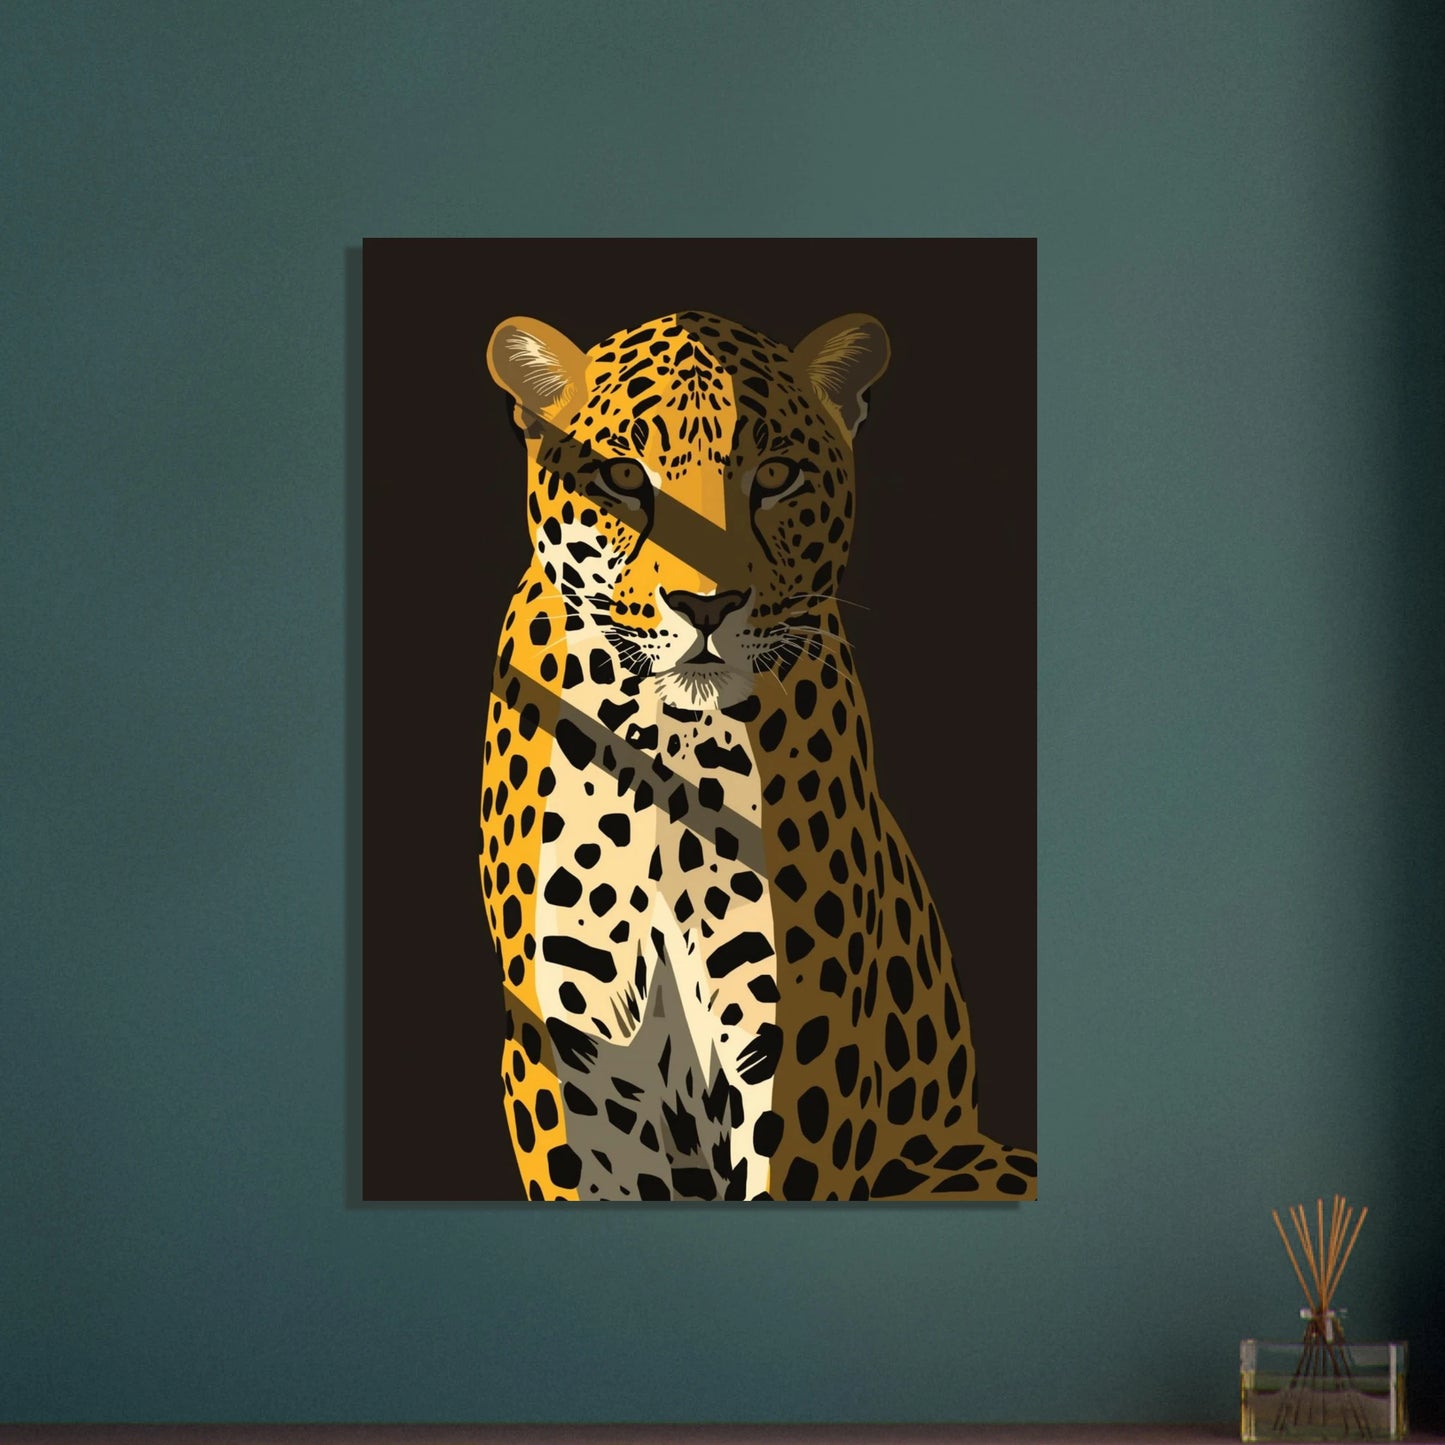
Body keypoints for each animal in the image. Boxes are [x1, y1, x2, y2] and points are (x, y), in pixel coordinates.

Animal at [478, 308, 1036, 1201]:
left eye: (774, 476)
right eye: (623, 477)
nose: (706, 604)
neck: (667, 743)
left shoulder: (799, 1035)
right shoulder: (569, 1045)